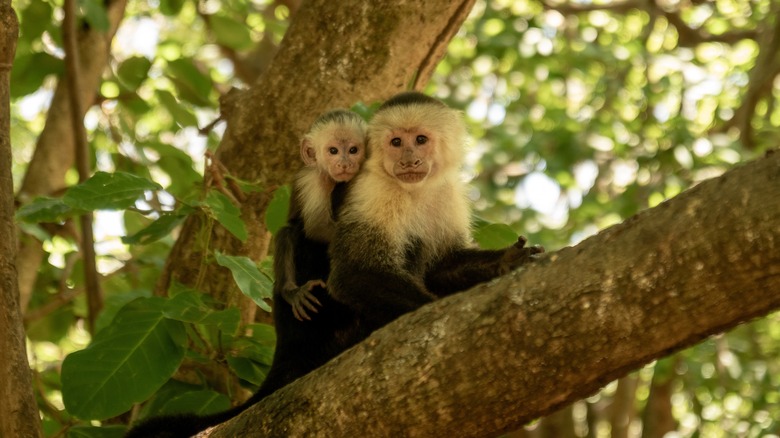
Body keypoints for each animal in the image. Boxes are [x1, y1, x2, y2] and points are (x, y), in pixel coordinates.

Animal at [124, 109, 366, 438]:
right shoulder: (312, 179)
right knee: (293, 233)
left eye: (353, 149)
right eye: (332, 150)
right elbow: (316, 227)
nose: (344, 163)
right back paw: (293, 291)